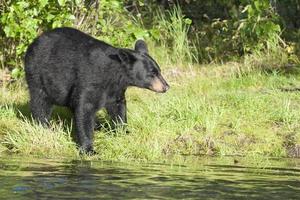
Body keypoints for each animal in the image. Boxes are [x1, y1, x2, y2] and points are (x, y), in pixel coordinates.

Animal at [24, 27, 169, 154]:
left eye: (159, 71)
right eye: (152, 73)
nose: (166, 86)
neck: (114, 75)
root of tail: (34, 41)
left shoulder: (115, 89)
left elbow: (118, 107)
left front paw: (123, 131)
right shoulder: (90, 79)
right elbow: (85, 108)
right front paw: (88, 149)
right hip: (38, 74)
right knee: (40, 102)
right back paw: (44, 126)